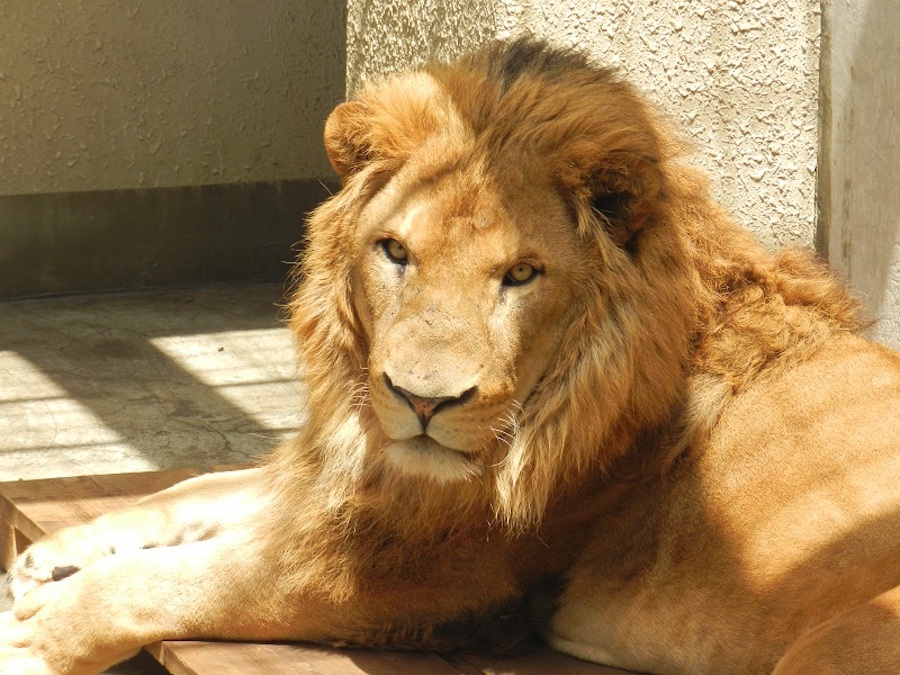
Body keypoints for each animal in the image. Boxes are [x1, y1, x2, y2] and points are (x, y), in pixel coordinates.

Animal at [1, 39, 900, 675]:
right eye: (396, 252)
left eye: (522, 275)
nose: (422, 401)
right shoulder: (365, 483)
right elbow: (200, 489)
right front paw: (51, 557)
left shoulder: (414, 573)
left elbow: (181, 582)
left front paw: (32, 637)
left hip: (844, 635)